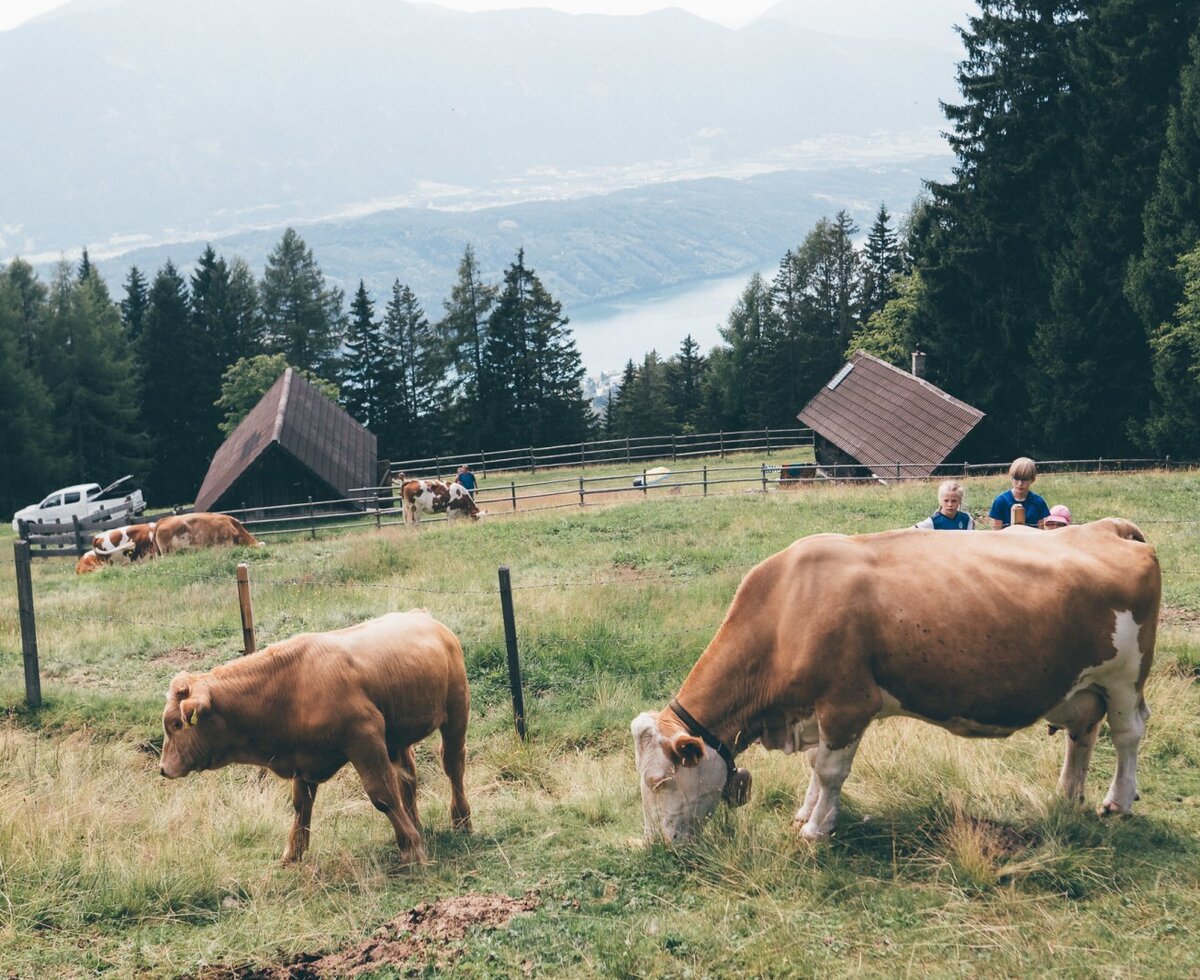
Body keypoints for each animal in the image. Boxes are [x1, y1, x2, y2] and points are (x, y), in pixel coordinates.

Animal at [159, 610, 472, 865]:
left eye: (176, 723)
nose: (163, 769)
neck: (288, 688)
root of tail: (424, 616)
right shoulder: (303, 758)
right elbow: (301, 805)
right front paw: (293, 852)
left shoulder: (365, 737)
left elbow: (383, 795)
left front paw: (410, 848)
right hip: (398, 738)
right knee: (408, 779)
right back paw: (416, 823)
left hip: (457, 711)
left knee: (453, 764)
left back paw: (461, 821)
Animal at [632, 518, 1161, 843]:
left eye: (659, 781)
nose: (659, 845)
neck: (786, 609)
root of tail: (1108, 527)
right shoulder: (815, 712)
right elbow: (814, 766)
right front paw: (808, 812)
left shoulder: (847, 705)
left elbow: (830, 770)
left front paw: (816, 829)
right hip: (1082, 687)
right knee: (1083, 733)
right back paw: (1067, 794)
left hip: (1124, 677)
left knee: (1127, 734)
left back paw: (1118, 801)